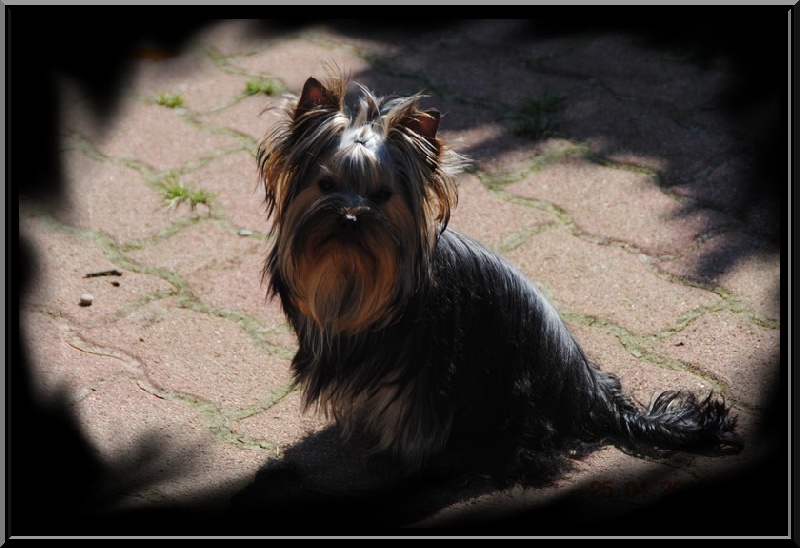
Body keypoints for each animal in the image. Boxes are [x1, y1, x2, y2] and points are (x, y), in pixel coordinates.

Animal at [258, 74, 744, 484]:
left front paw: (398, 463)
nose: (350, 217)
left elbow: (412, 429)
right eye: (325, 184)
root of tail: (591, 394)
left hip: (513, 402)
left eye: (382, 195)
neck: (353, 275)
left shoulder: (426, 384)